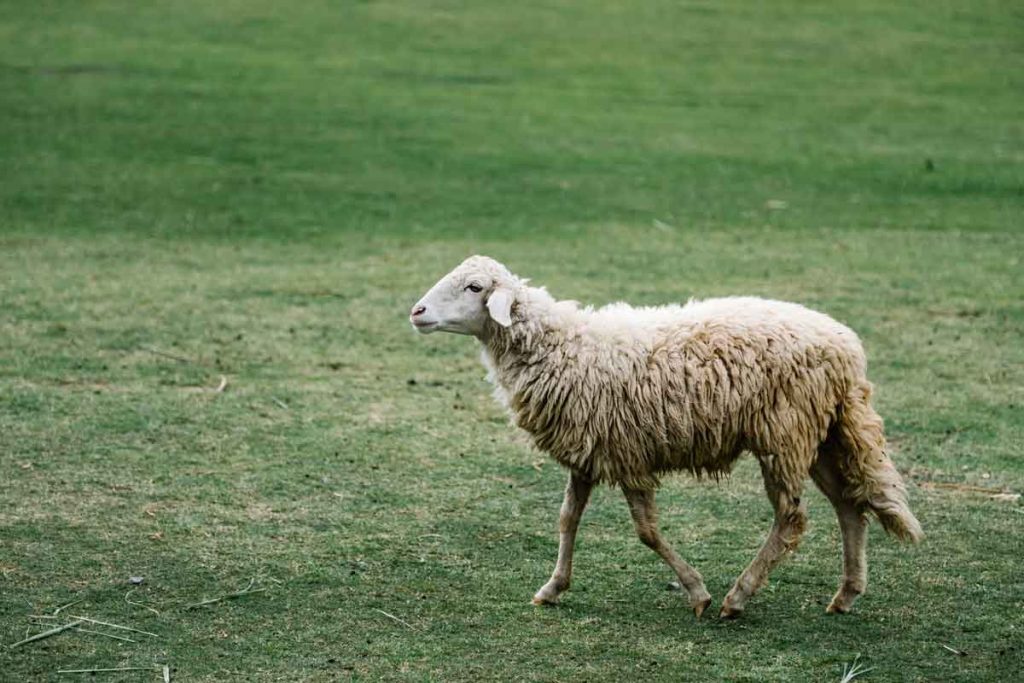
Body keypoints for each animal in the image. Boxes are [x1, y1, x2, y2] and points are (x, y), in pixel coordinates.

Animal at [407, 254, 921, 618]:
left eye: (474, 287)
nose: (416, 311)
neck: (563, 348)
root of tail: (848, 348)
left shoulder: (628, 455)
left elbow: (647, 532)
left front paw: (698, 593)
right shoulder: (588, 451)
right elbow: (567, 519)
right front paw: (552, 588)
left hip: (784, 433)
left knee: (792, 520)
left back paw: (738, 596)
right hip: (819, 434)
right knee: (849, 507)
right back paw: (846, 594)